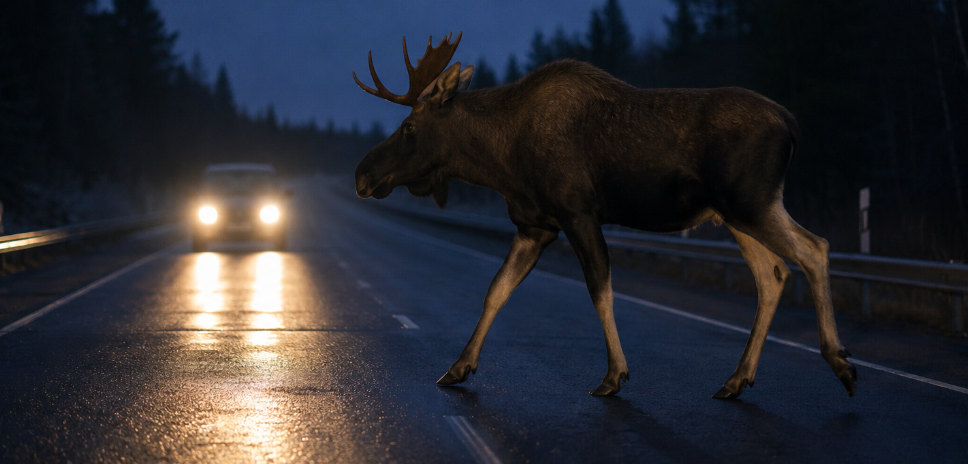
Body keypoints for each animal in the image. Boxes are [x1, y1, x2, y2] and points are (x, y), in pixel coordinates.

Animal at [352, 32, 857, 398]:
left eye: (408, 127)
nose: (362, 174)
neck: (501, 159)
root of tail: (791, 124)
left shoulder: (577, 213)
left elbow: (600, 289)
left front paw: (615, 374)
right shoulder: (534, 226)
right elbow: (495, 291)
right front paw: (458, 368)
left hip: (753, 202)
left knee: (815, 248)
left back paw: (839, 361)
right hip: (735, 214)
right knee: (772, 274)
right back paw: (736, 379)